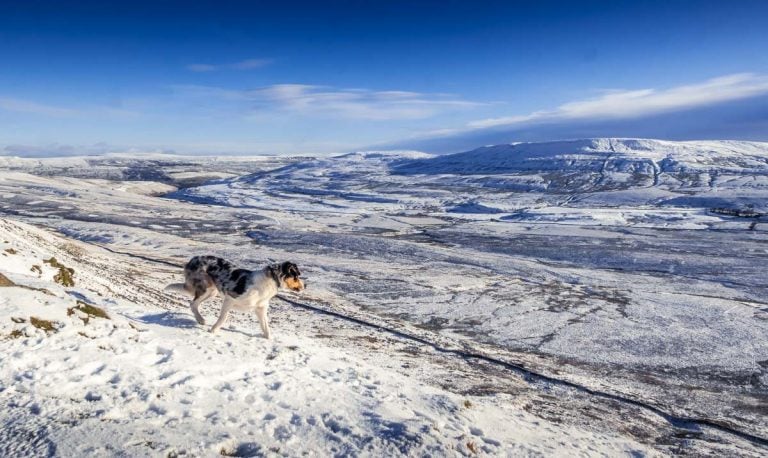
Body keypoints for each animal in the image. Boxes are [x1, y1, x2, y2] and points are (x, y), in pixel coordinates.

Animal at [164, 256, 304, 338]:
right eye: (296, 277)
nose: (305, 285)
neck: (271, 281)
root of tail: (192, 259)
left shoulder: (260, 309)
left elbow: (266, 328)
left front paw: (269, 339)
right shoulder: (229, 299)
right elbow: (222, 318)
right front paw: (213, 331)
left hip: (211, 292)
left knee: (193, 304)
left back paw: (200, 320)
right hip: (205, 288)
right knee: (192, 303)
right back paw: (201, 320)